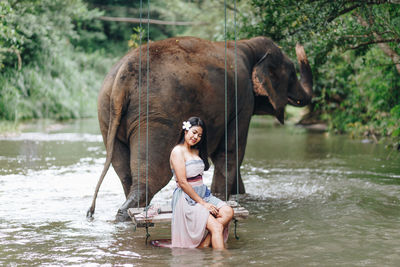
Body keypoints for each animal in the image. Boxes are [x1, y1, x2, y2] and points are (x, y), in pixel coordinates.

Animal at [86, 36, 312, 223]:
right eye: (292, 73)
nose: (300, 45)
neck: (247, 45)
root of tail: (122, 78)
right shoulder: (243, 101)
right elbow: (231, 153)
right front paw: (222, 198)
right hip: (155, 118)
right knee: (153, 176)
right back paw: (127, 214)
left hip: (106, 113)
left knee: (125, 173)